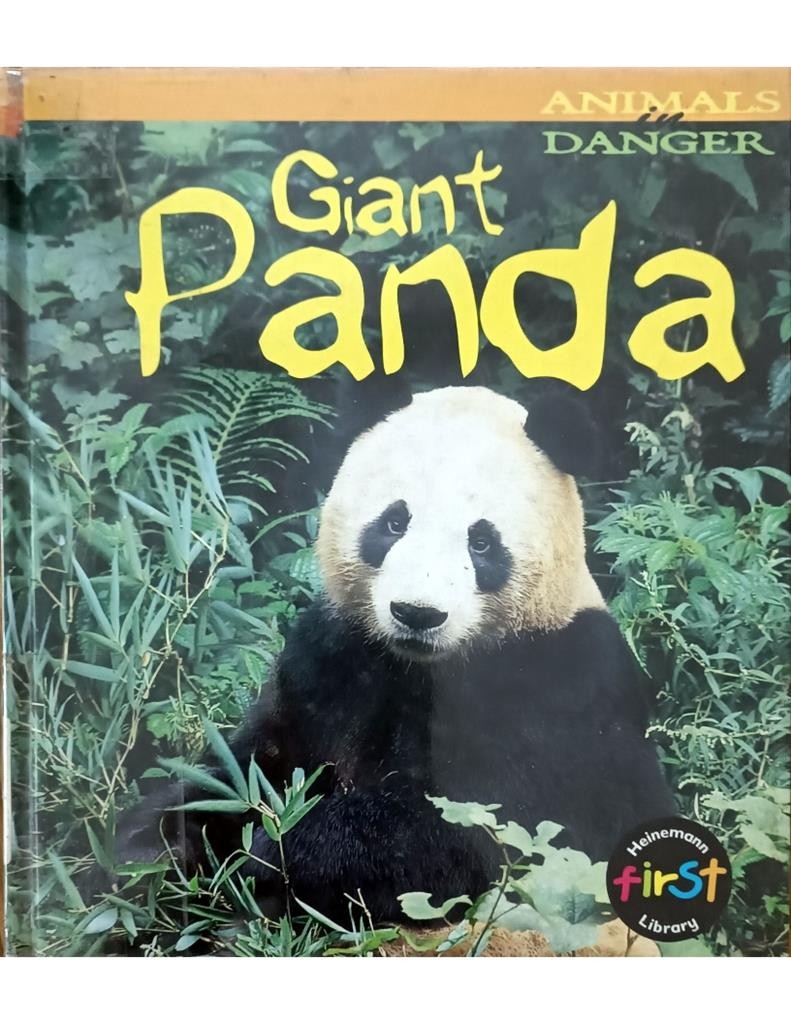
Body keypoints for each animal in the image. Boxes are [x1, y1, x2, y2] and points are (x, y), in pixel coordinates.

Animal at [117, 385, 675, 923]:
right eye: (393, 523)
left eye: (481, 542)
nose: (417, 613)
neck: (423, 664)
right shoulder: (333, 656)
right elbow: (253, 767)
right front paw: (153, 853)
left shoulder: (560, 683)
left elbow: (498, 830)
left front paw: (281, 858)